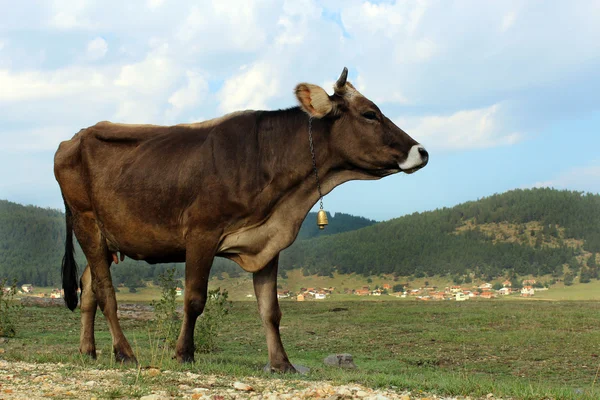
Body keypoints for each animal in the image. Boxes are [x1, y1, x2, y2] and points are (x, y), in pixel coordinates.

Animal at [52, 69, 426, 372]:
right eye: (370, 114)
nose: (421, 151)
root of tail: (73, 138)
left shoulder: (268, 241)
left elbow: (270, 310)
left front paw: (282, 364)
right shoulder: (201, 234)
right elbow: (194, 299)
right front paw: (184, 354)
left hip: (106, 237)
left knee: (88, 289)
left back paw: (88, 351)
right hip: (87, 222)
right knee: (105, 292)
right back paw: (124, 353)